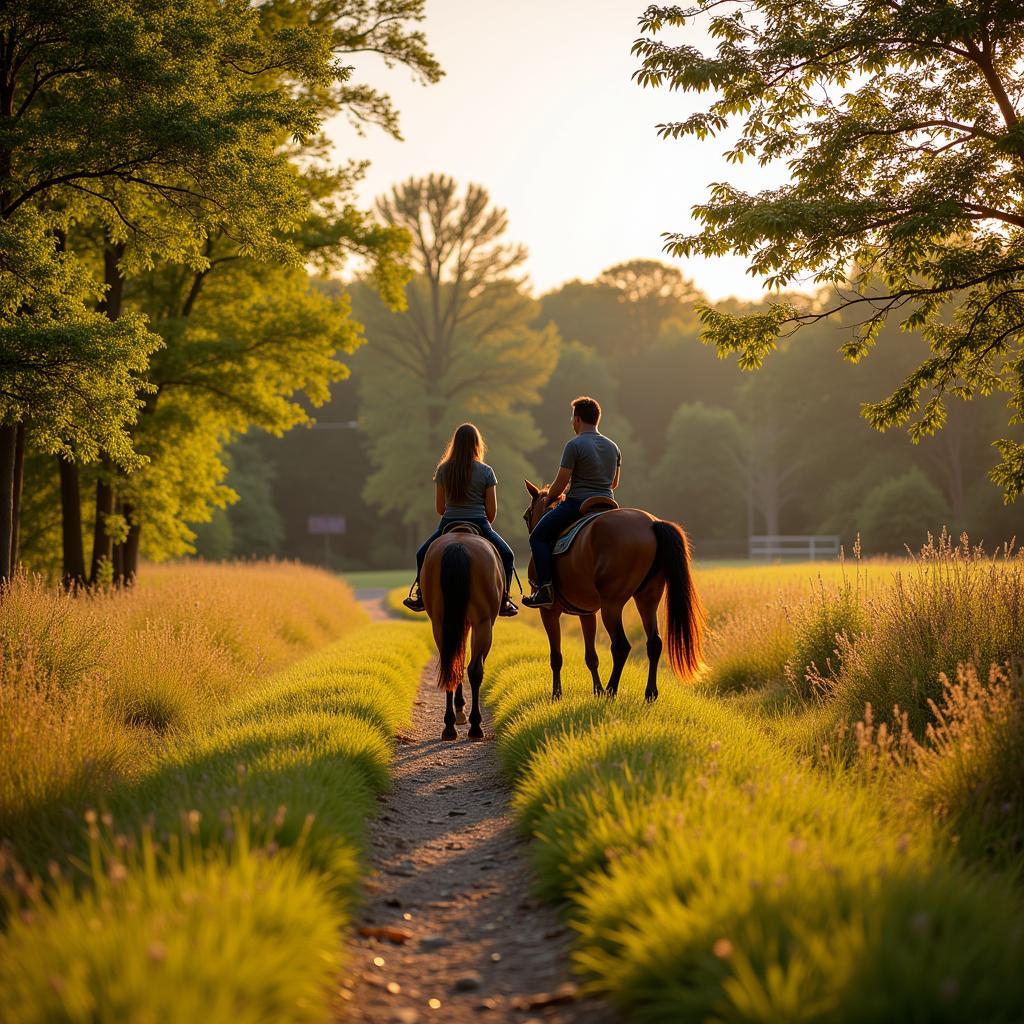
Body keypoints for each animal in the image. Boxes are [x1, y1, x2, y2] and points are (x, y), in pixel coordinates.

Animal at [417, 532, 501, 741]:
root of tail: (458, 545)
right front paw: (462, 710)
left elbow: (458, 661)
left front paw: (459, 710)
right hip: (482, 623)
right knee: (475, 670)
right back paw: (475, 726)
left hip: (440, 622)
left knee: (450, 664)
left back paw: (449, 727)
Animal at [520, 483, 704, 700]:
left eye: (526, 516)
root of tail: (651, 524)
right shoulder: (587, 613)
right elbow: (591, 657)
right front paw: (596, 690)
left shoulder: (548, 611)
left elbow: (556, 657)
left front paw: (557, 694)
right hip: (647, 599)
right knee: (654, 643)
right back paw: (649, 693)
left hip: (612, 605)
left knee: (621, 646)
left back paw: (611, 690)